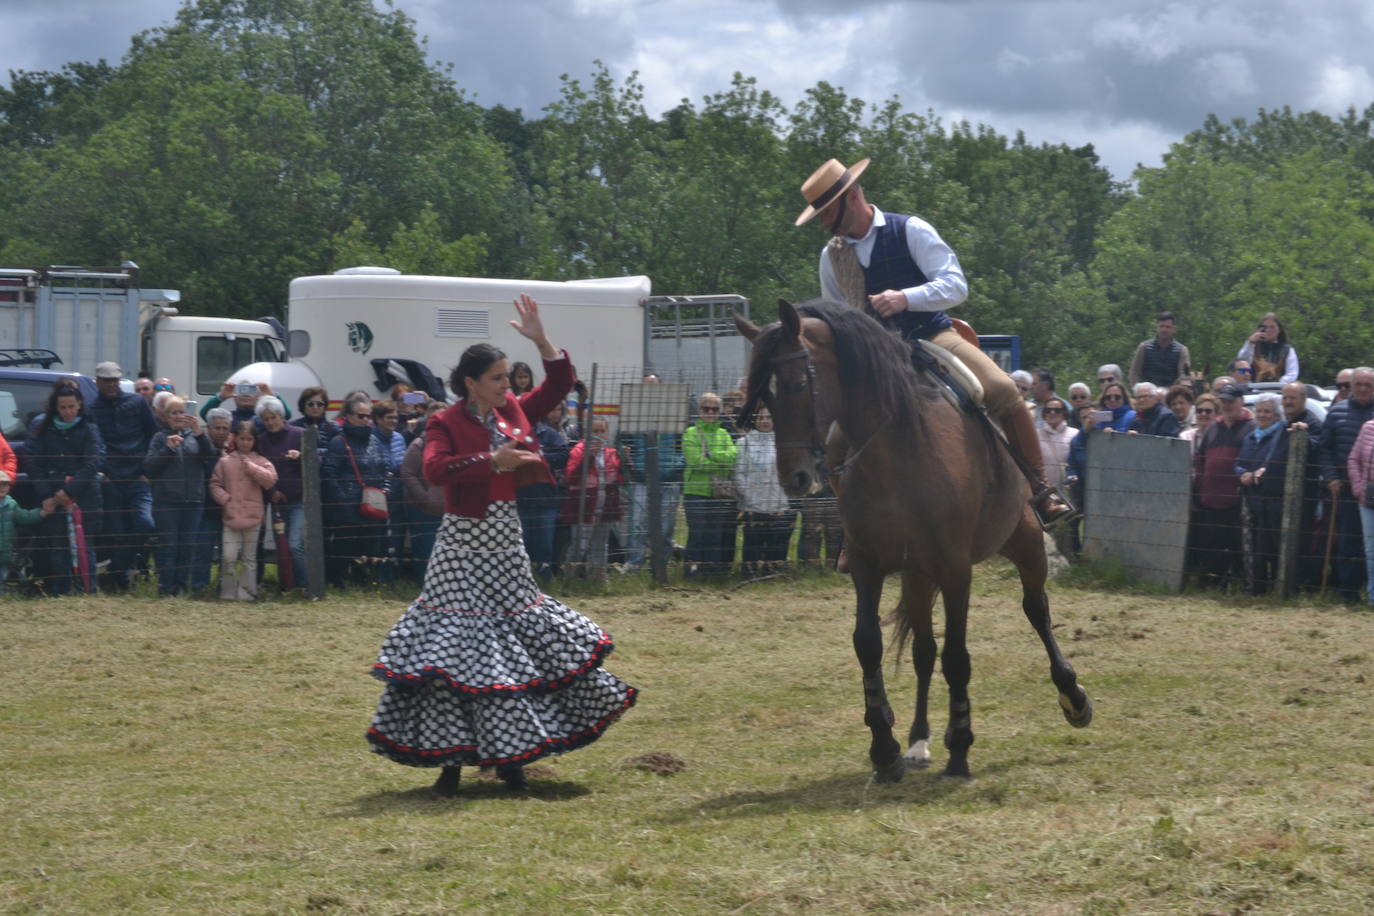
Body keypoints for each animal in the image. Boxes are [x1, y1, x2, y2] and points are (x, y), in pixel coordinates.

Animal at [736, 302, 1088, 780]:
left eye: (797, 383)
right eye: (764, 396)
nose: (795, 478)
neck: (900, 450)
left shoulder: (956, 569)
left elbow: (958, 656)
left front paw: (960, 746)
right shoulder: (867, 565)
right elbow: (869, 644)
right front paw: (884, 746)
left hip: (1023, 541)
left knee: (1036, 610)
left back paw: (1073, 697)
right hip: (918, 574)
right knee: (923, 650)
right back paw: (919, 741)